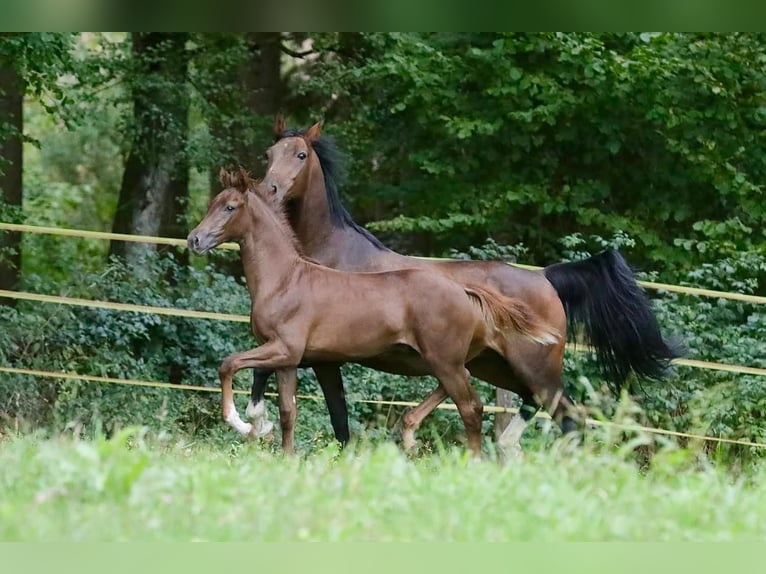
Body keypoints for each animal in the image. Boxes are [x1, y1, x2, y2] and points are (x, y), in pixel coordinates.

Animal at [187, 167, 561, 456]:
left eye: (230, 207)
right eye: (213, 203)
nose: (194, 239)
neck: (285, 279)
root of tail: (465, 290)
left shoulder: (284, 349)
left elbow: (228, 364)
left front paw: (239, 422)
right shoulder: (288, 360)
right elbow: (287, 411)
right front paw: (284, 453)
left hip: (450, 362)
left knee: (474, 408)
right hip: (457, 362)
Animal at [246, 118, 680, 455]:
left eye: (300, 155)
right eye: (269, 153)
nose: (269, 191)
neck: (329, 257)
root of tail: (545, 277)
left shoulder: (324, 356)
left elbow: (334, 414)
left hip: (534, 367)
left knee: (567, 416)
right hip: (493, 365)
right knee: (529, 405)